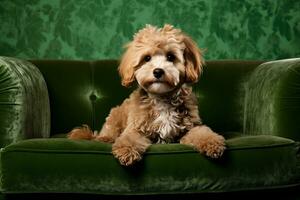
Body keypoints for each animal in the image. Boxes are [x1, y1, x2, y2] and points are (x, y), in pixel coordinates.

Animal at [68, 24, 226, 166]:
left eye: (170, 56)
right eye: (147, 58)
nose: (158, 71)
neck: (161, 98)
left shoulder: (191, 127)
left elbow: (202, 132)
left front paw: (213, 143)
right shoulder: (135, 129)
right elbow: (128, 139)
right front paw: (127, 151)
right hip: (114, 117)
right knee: (109, 133)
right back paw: (105, 139)